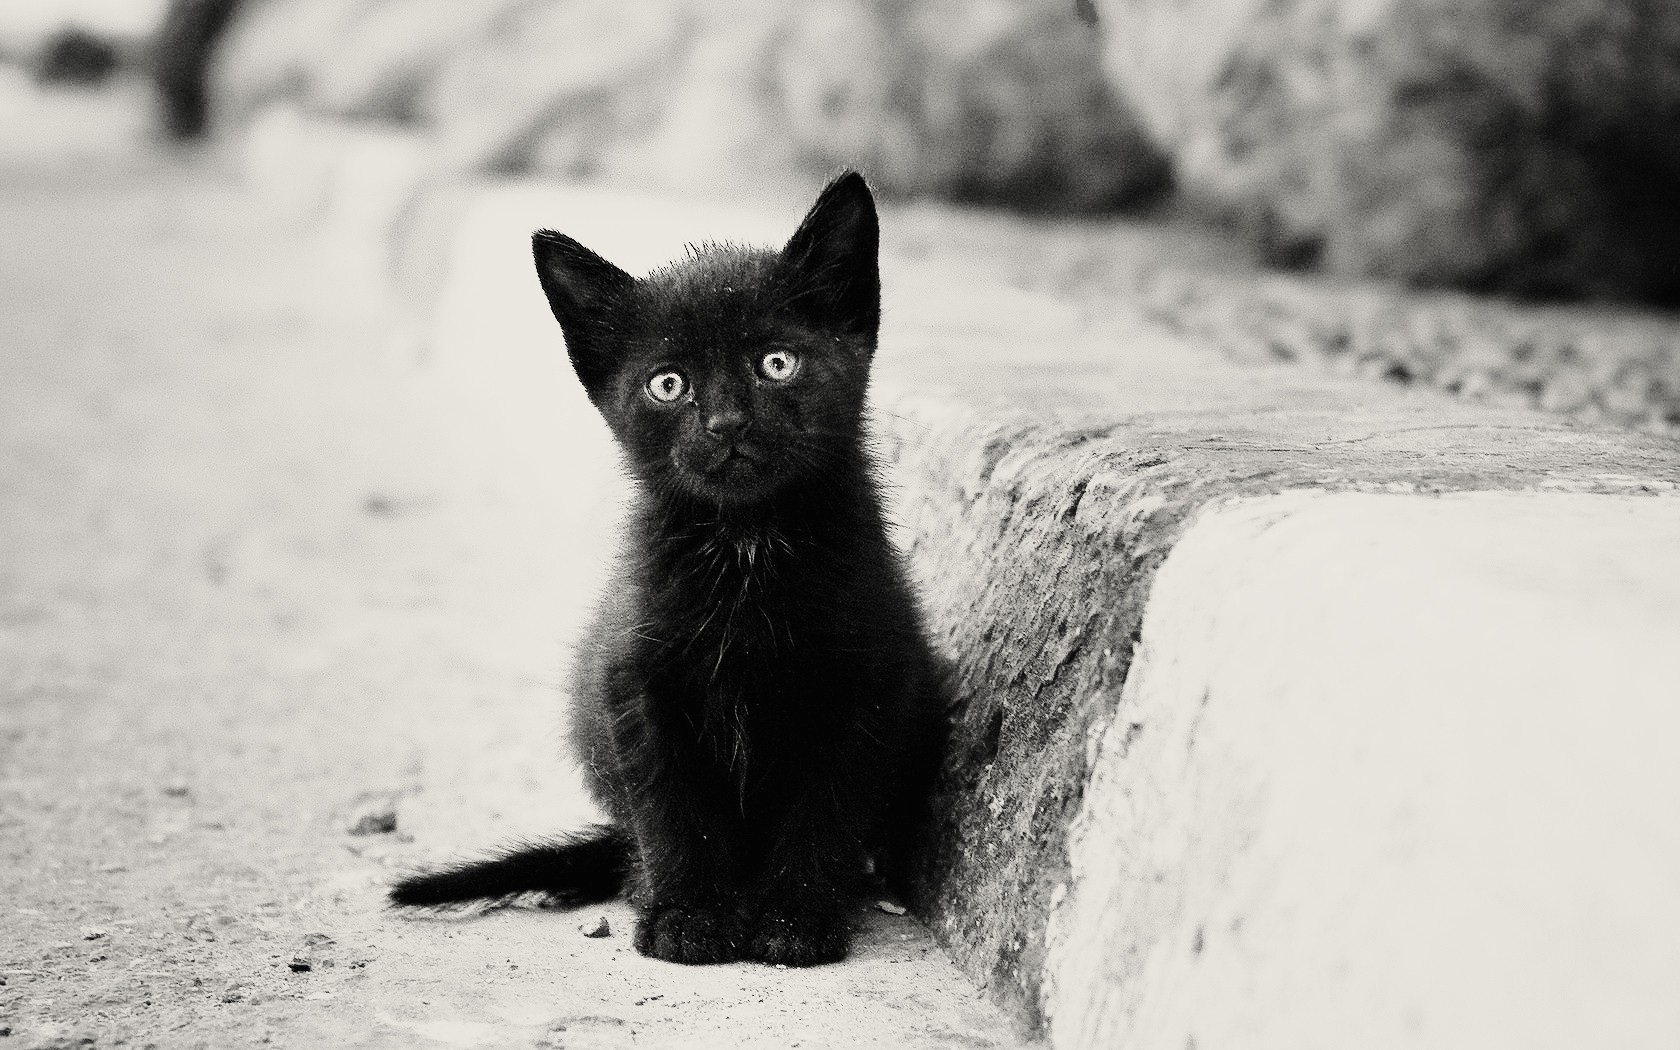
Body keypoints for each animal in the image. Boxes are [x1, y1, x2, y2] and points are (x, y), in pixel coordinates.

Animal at [391, 172, 947, 967]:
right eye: (668, 384)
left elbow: (826, 806)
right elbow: (671, 806)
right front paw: (687, 916)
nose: (726, 423)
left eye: (777, 363)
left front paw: (795, 920)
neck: (748, 547)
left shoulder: (867, 683)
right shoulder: (634, 682)